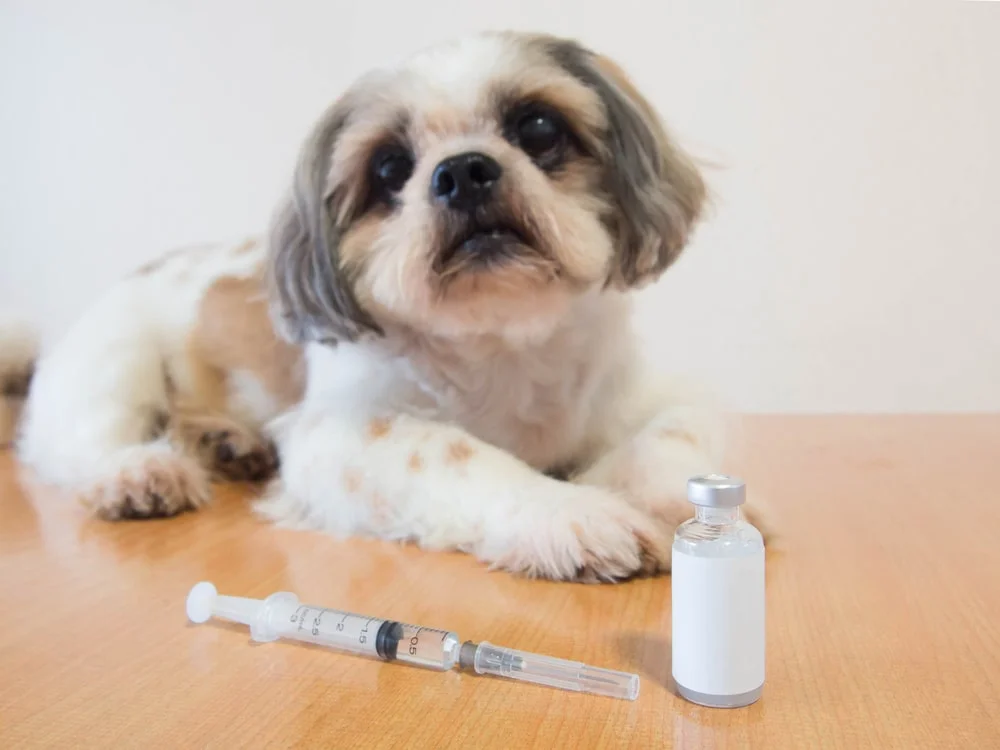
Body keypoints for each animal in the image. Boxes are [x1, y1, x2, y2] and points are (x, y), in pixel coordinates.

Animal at [0, 32, 736, 584]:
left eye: (536, 127)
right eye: (389, 168)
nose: (462, 171)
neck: (502, 345)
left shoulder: (648, 395)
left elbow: (677, 436)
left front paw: (650, 493)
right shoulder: (343, 436)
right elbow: (455, 455)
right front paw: (570, 510)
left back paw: (227, 443)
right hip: (115, 358)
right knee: (80, 442)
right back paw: (139, 472)